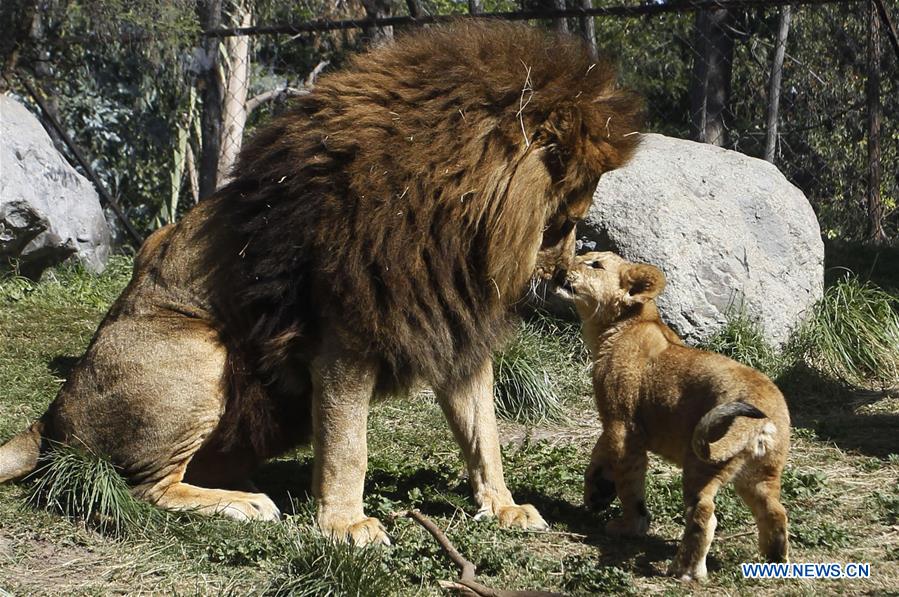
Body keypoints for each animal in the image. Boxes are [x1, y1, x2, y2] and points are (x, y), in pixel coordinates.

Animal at [0, 22, 642, 545]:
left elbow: (483, 433)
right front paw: (345, 524)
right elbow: (348, 445)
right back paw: (244, 504)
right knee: (140, 488)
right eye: (564, 221)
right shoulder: (345, 336)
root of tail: (50, 415)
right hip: (200, 350)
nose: (559, 276)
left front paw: (504, 507)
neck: (458, 231)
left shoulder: (453, 328)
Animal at [557, 252, 790, 580]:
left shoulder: (623, 425)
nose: (561, 266)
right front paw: (597, 494)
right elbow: (598, 457)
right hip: (761, 473)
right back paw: (775, 562)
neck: (621, 326)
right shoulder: (613, 422)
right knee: (775, 511)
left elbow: (629, 480)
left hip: (701, 463)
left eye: (595, 265)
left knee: (704, 513)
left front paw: (630, 526)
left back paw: (685, 570)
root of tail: (763, 417)